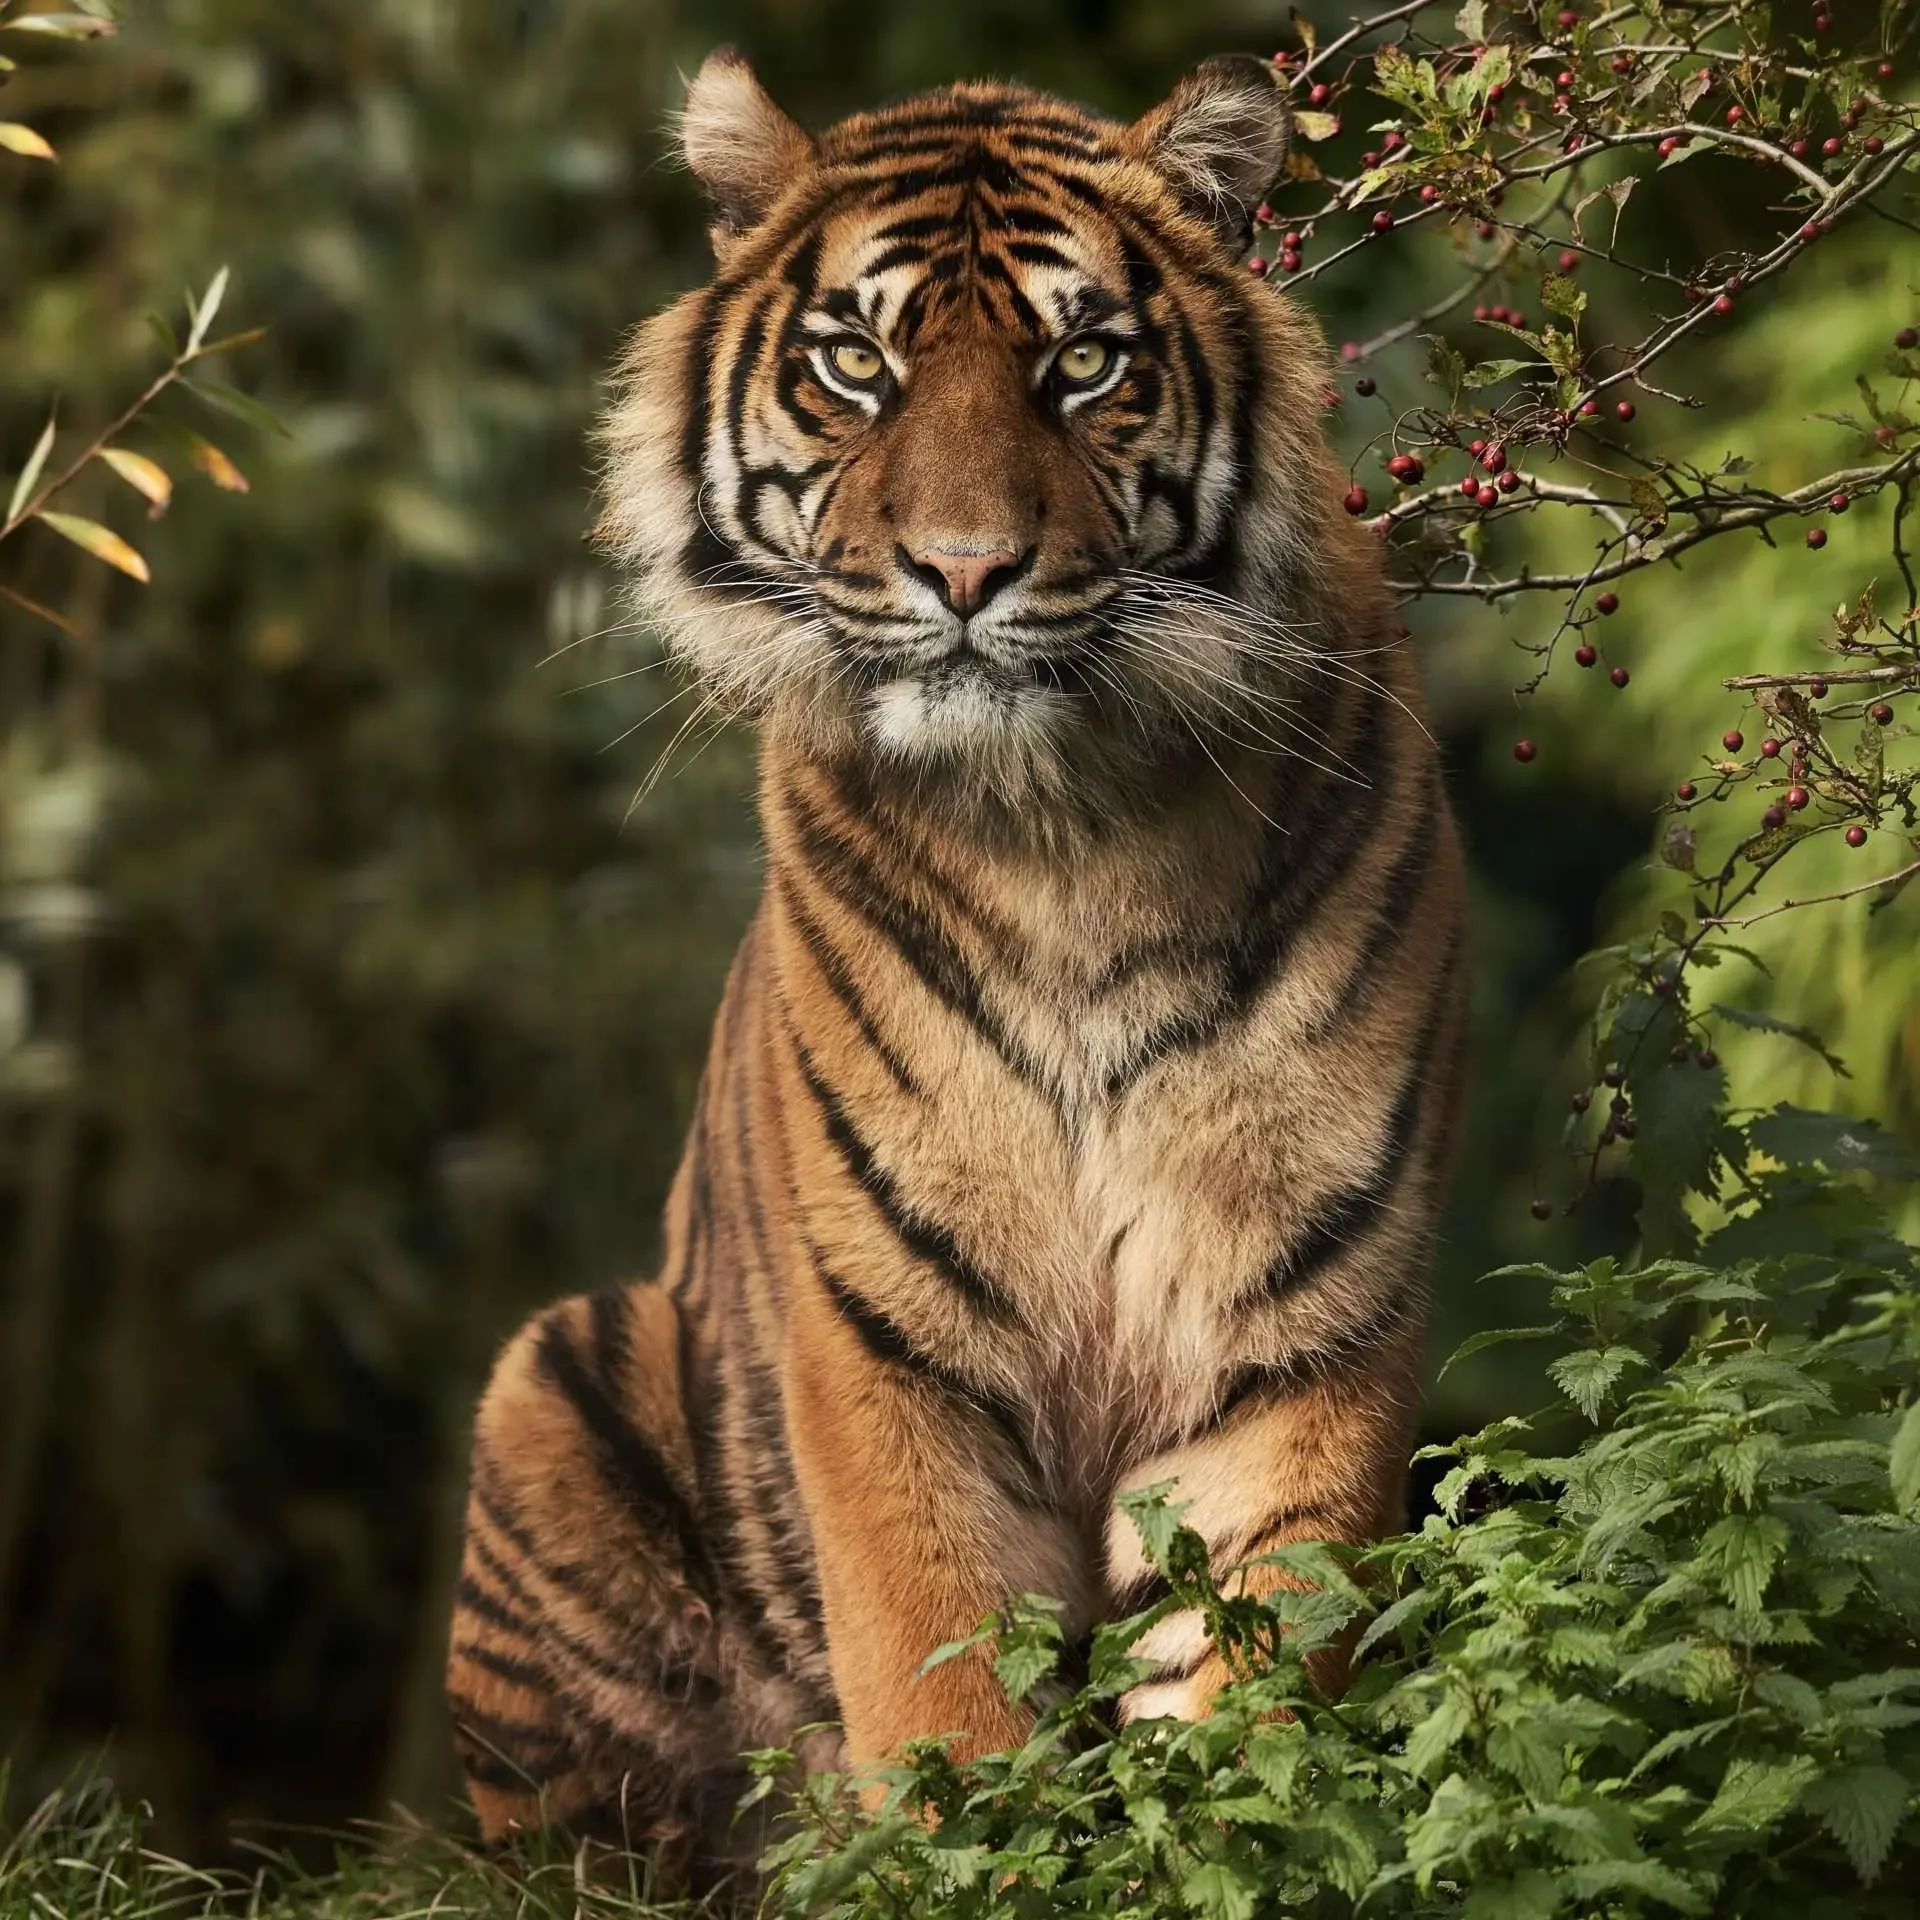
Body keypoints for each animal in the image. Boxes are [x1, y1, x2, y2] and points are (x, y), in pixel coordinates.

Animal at [444, 45, 1469, 1880]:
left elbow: (1250, 1711)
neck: (1066, 837)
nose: (968, 571)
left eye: (1086, 364)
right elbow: (947, 1707)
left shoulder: (1299, 1316)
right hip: (550, 1381)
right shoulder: (886, 1341)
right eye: (859, 364)